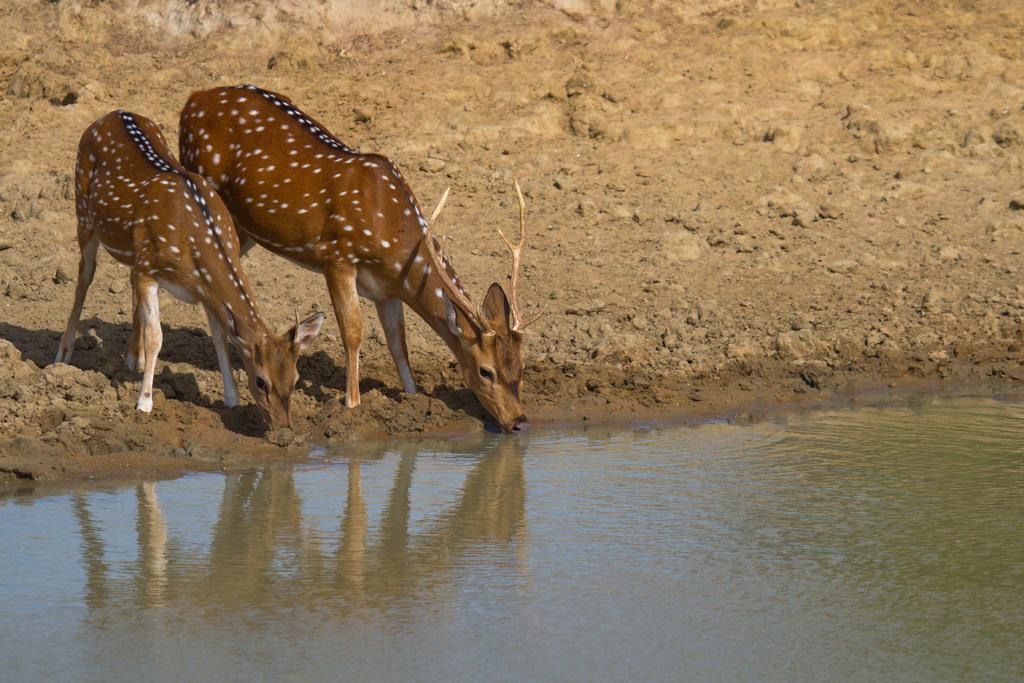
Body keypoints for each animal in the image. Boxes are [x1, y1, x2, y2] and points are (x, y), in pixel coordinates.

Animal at [55, 109, 323, 430]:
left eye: (296, 378)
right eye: (261, 381)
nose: (283, 427)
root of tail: (110, 114)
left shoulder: (200, 288)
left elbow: (219, 336)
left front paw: (231, 398)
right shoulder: (150, 270)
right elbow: (156, 337)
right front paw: (144, 403)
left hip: (131, 251)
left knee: (124, 280)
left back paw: (133, 358)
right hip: (83, 212)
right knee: (85, 275)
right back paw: (63, 354)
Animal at [178, 82, 544, 430]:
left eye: (522, 365)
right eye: (486, 371)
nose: (519, 421)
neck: (391, 236)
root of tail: (192, 101)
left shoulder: (386, 290)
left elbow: (398, 340)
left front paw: (411, 397)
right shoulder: (337, 256)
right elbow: (353, 331)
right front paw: (352, 403)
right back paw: (230, 397)